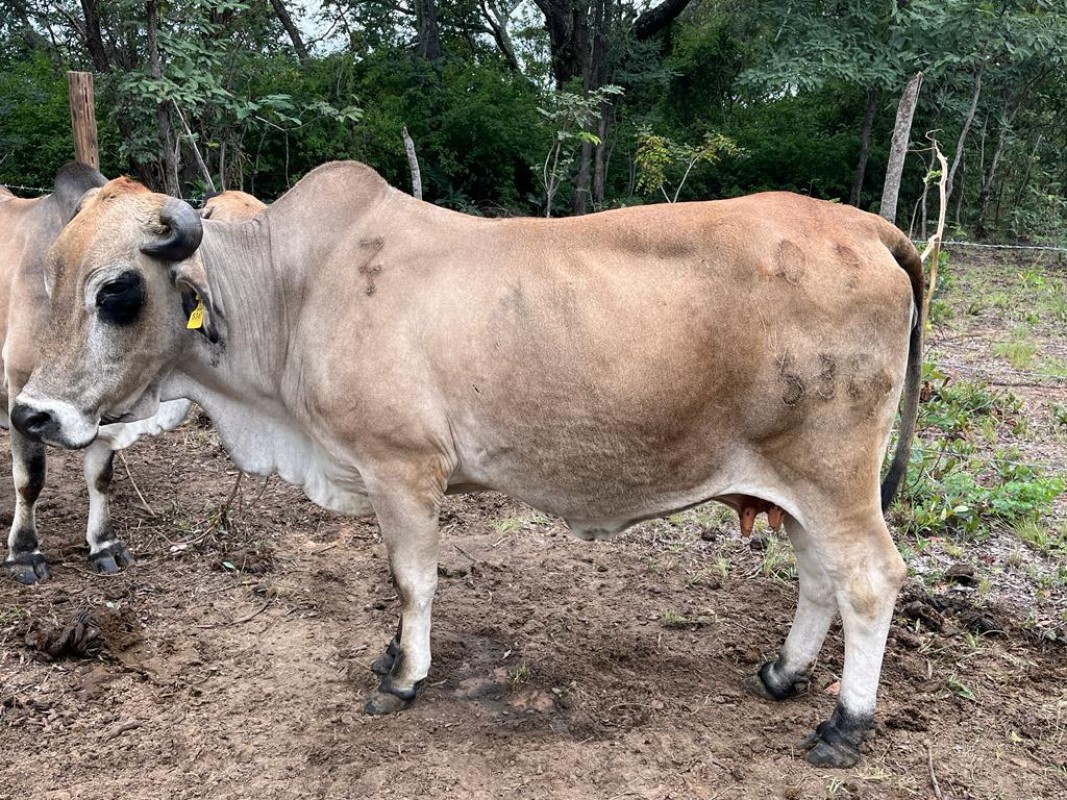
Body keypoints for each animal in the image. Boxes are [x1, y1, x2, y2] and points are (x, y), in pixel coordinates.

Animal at [11, 161, 922, 768]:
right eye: (48, 277)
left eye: (117, 291)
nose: (31, 413)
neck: (294, 293)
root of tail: (864, 226)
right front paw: (391, 656)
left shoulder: (402, 469)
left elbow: (412, 579)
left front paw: (404, 677)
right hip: (796, 485)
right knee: (818, 577)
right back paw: (782, 673)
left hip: (834, 476)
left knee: (869, 579)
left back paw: (844, 723)